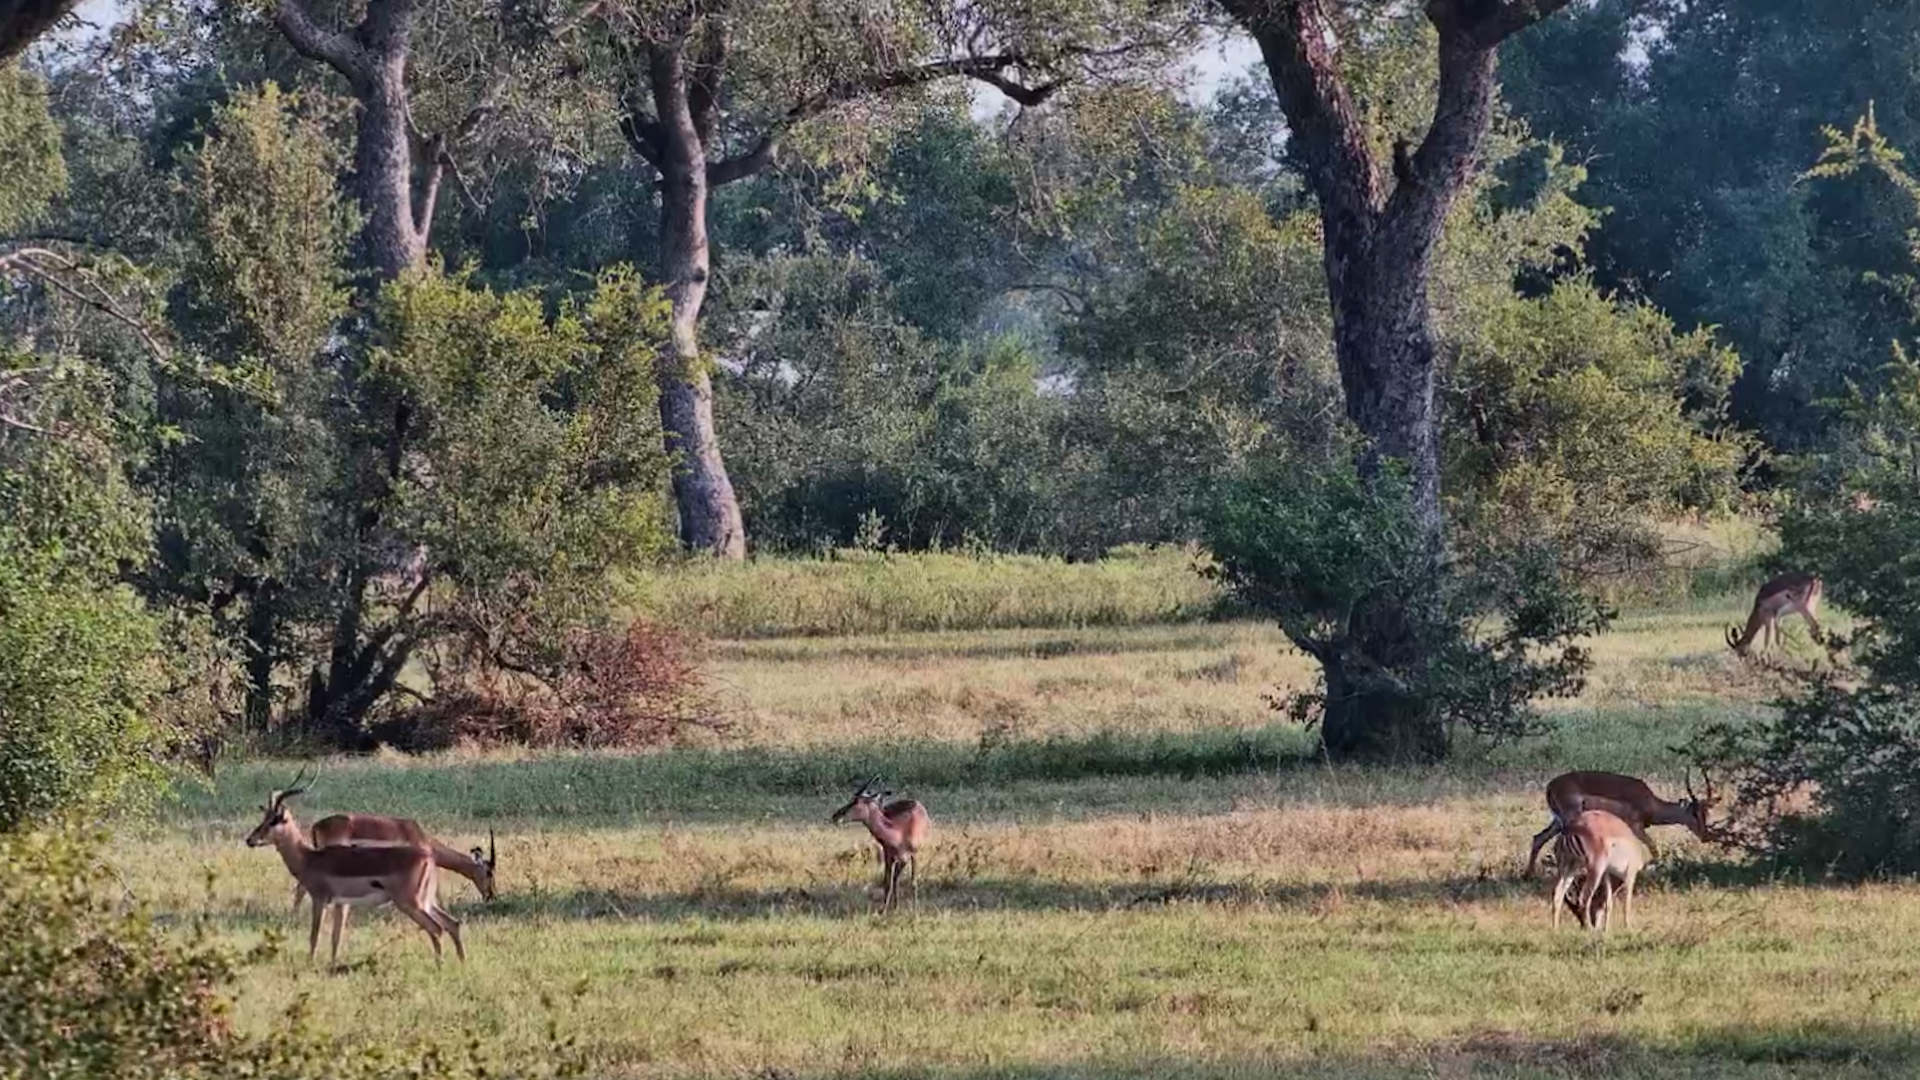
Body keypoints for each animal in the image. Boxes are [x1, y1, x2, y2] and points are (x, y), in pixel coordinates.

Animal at [244, 775, 466, 965]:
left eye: (274, 820)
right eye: (264, 817)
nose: (250, 839)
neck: (309, 858)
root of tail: (428, 857)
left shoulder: (320, 899)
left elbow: (315, 935)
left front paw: (310, 963)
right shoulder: (342, 904)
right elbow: (336, 937)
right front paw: (333, 964)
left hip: (411, 903)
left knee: (436, 928)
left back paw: (440, 966)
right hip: (427, 902)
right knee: (452, 923)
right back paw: (461, 963)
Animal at [829, 775, 930, 912]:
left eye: (856, 801)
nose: (835, 816)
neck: (900, 832)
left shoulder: (911, 855)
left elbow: (911, 881)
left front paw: (914, 908)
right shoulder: (889, 855)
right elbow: (888, 882)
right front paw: (885, 909)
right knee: (894, 879)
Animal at [1524, 770, 1713, 878]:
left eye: (1706, 812)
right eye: (1694, 813)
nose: (1705, 835)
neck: (1649, 802)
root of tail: (1550, 786)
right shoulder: (1636, 827)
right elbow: (1653, 848)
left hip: (1558, 821)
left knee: (1538, 838)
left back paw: (1529, 875)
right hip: (1570, 818)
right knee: (1557, 844)